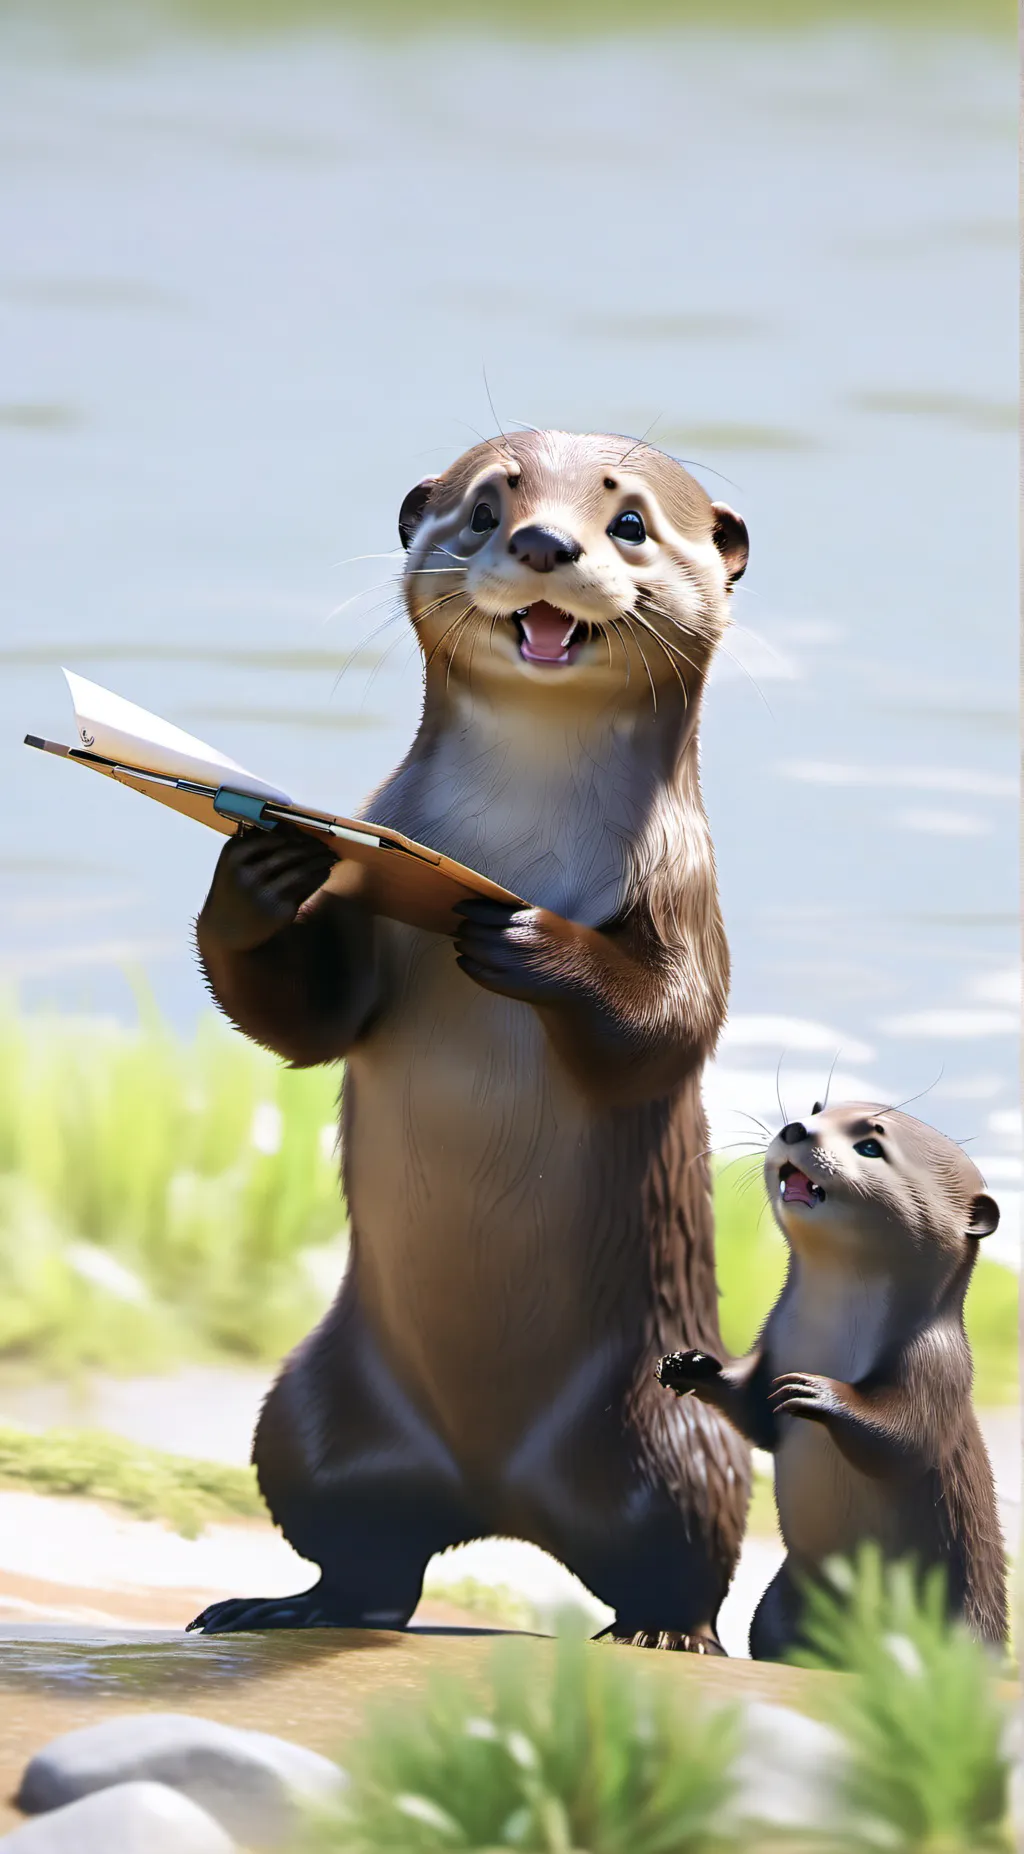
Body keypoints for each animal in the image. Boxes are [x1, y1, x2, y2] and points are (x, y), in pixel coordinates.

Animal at [188, 429, 752, 1649]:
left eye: (628, 522)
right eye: (489, 508)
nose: (544, 543)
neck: (521, 836)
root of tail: (499, 1496)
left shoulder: (688, 901)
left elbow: (667, 1028)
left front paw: (528, 937)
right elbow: (309, 1027)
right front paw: (261, 865)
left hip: (674, 1433)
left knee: (684, 1548)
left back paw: (660, 1630)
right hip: (308, 1415)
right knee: (366, 1555)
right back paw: (286, 1604)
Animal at [657, 1102, 1008, 1658]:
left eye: (870, 1145)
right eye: (817, 1108)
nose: (796, 1128)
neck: (827, 1335)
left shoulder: (939, 1365)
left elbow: (906, 1439)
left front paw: (817, 1392)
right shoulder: (772, 1343)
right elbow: (754, 1411)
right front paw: (687, 1364)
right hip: (776, 1605)